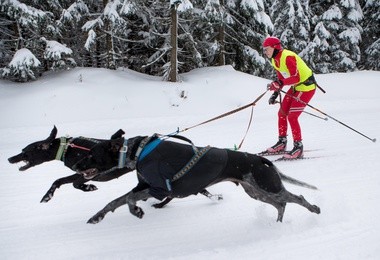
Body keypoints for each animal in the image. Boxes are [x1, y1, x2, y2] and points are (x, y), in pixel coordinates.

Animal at [74, 134, 320, 223]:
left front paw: (136, 211)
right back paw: (277, 223)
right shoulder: (144, 187)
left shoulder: (160, 190)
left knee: (296, 197)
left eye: (91, 154)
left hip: (267, 186)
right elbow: (114, 202)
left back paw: (314, 208)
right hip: (256, 192)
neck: (138, 151)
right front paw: (97, 216)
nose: (75, 165)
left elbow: (128, 200)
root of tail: (260, 159)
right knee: (282, 204)